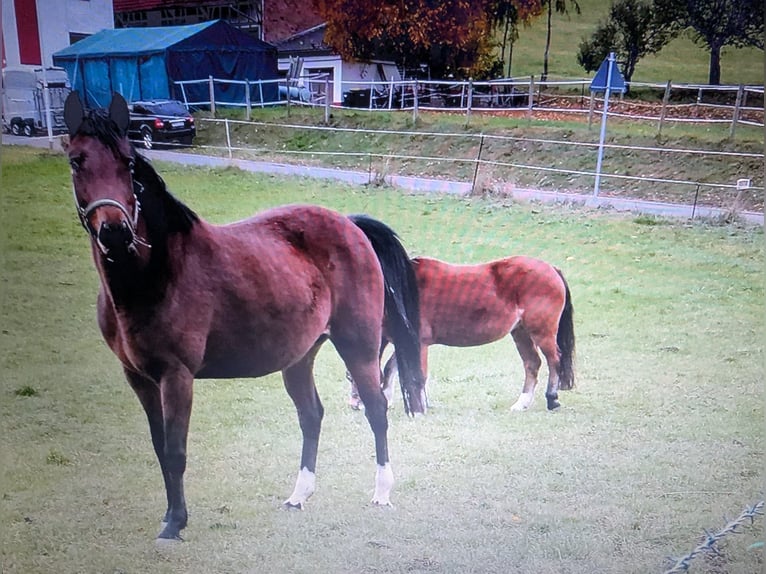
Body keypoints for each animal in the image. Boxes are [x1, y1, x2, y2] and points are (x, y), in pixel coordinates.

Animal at [63, 92, 428, 544]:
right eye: (76, 161)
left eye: (128, 162)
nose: (115, 232)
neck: (157, 274)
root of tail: (350, 224)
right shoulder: (139, 378)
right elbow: (159, 447)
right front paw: (169, 515)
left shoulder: (176, 376)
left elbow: (175, 450)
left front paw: (175, 523)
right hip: (299, 357)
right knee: (312, 416)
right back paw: (299, 495)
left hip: (357, 346)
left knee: (377, 410)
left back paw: (381, 491)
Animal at [350, 256, 576, 414]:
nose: (354, 404)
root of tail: (551, 269)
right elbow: (391, 368)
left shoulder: (419, 343)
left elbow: (417, 375)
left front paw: (419, 407)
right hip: (520, 333)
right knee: (532, 364)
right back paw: (522, 403)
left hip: (542, 332)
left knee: (554, 360)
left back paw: (552, 398)